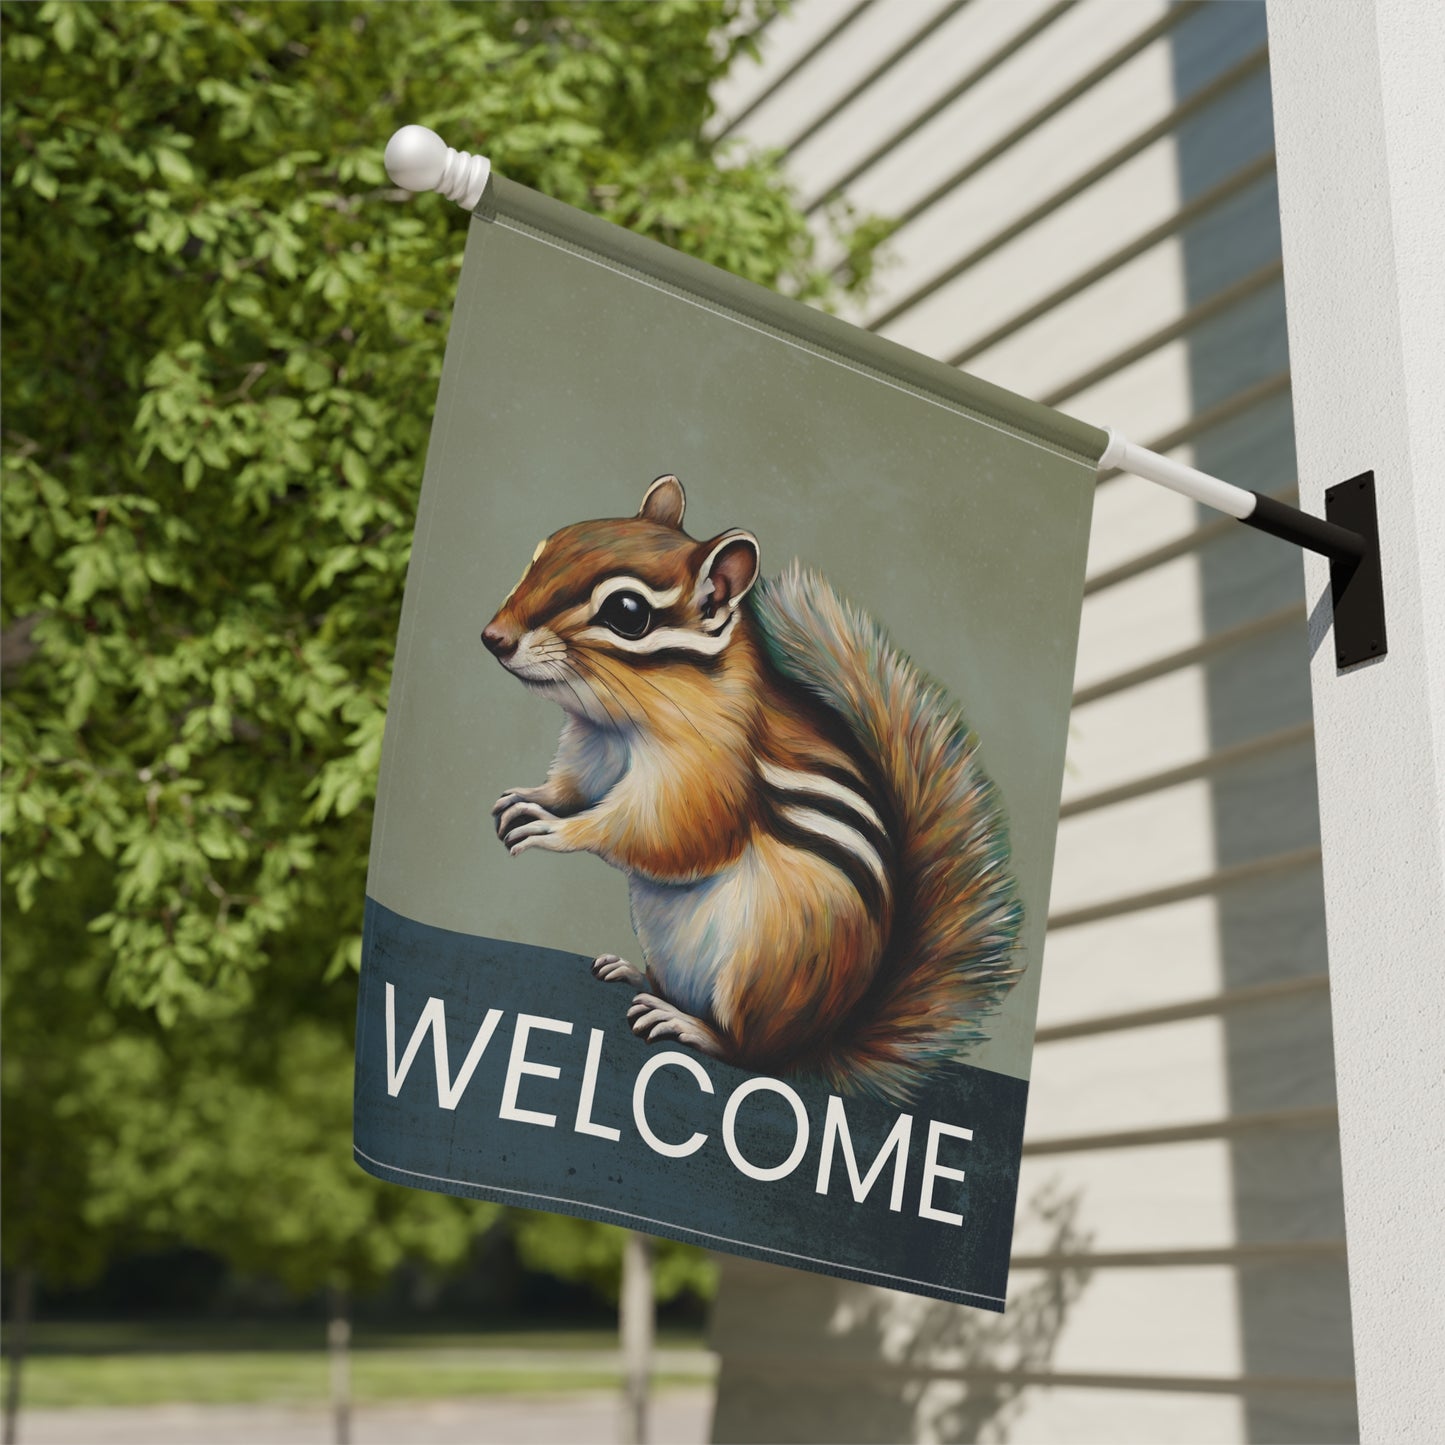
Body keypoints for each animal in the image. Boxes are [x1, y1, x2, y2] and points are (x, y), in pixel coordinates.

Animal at [480, 475, 1022, 1105]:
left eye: (627, 612)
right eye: (543, 551)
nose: (493, 638)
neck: (625, 722)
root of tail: (822, 1040)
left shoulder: (710, 772)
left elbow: (664, 832)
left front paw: (556, 830)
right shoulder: (592, 749)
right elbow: (573, 784)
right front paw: (530, 800)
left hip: (769, 962)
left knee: (750, 1052)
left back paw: (688, 1025)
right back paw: (634, 974)